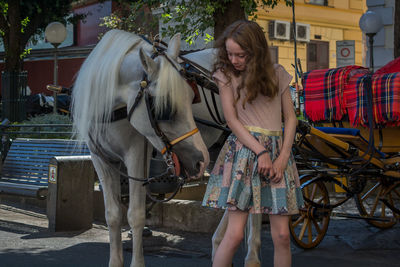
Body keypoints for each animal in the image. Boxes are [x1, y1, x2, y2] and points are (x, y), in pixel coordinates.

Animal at [72, 29, 209, 267]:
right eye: (165, 108)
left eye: (192, 98)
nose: (201, 160)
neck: (111, 110)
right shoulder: (101, 159)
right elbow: (113, 214)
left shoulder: (136, 155)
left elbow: (135, 214)